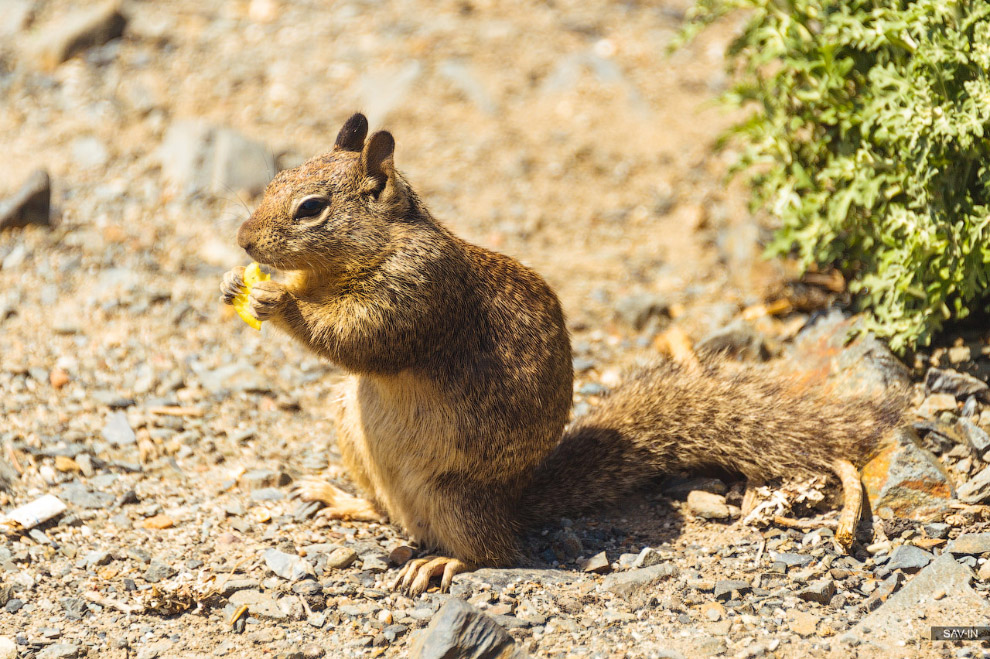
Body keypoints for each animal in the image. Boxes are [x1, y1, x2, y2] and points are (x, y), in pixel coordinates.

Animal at [221, 112, 912, 592]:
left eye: (311, 208)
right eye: (276, 178)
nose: (243, 240)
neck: (368, 252)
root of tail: (514, 501)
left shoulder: (418, 295)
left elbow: (360, 339)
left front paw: (275, 302)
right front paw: (237, 285)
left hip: (454, 495)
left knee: (494, 552)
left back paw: (443, 563)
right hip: (352, 430)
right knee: (387, 513)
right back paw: (342, 500)